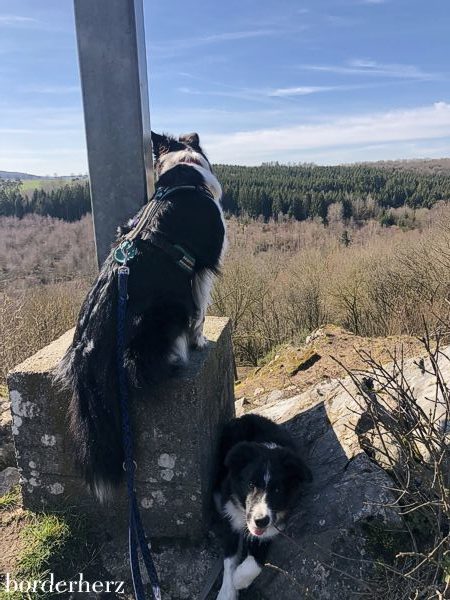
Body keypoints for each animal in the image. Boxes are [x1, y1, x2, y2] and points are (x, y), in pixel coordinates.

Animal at [56, 130, 225, 502]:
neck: (183, 174)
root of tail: (88, 349)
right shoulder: (202, 271)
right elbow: (200, 313)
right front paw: (201, 342)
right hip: (164, 315)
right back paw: (178, 355)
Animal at [215, 414, 312, 596]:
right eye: (250, 485)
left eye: (277, 490)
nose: (260, 521)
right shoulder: (230, 516)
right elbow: (229, 559)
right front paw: (227, 592)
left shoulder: (275, 522)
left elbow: (257, 560)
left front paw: (239, 579)